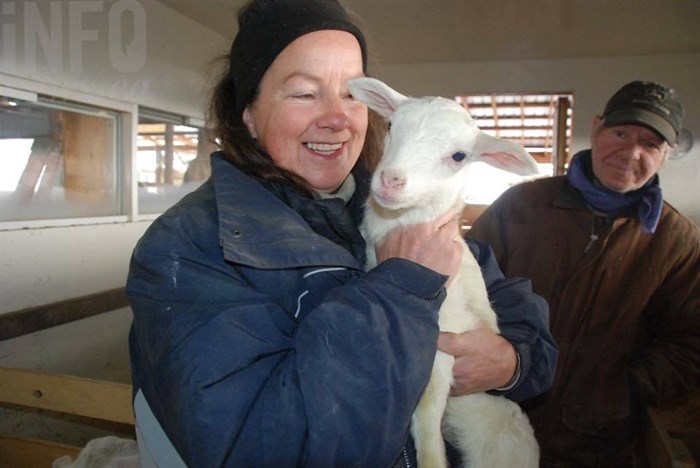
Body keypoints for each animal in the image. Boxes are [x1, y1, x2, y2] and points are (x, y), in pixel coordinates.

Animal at [348, 77, 540, 468]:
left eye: (459, 156)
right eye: (390, 126)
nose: (391, 180)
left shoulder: (446, 339)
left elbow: (426, 413)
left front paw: (431, 458)